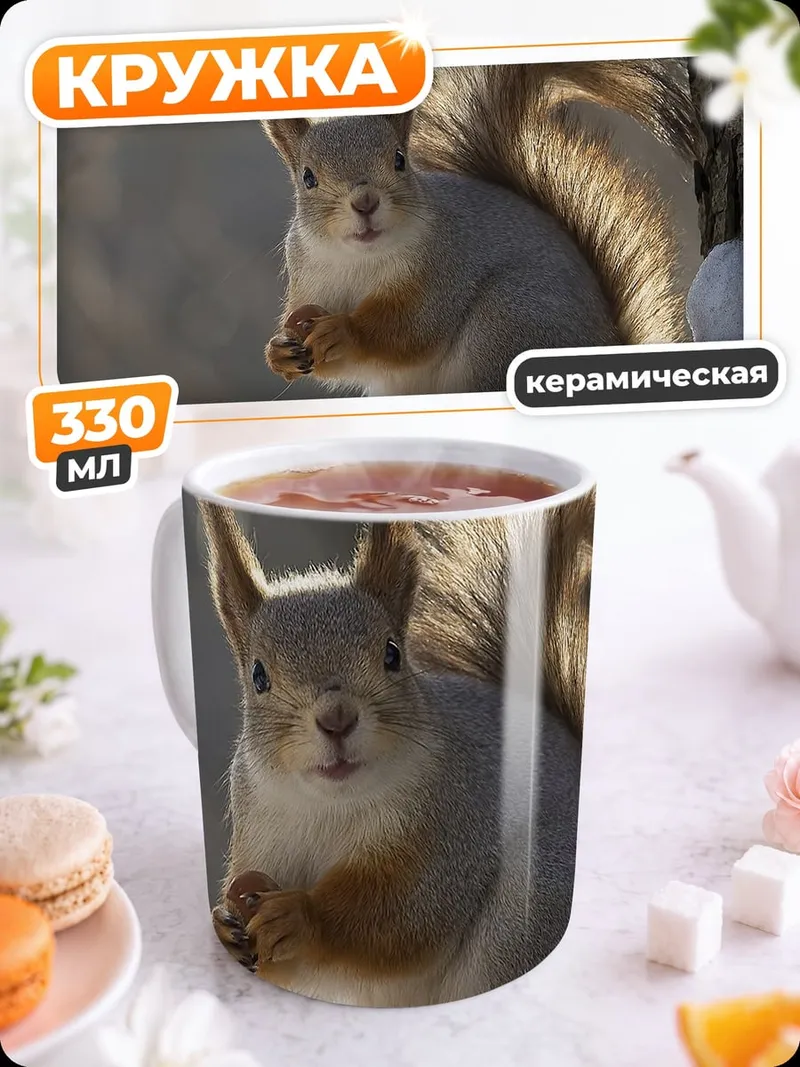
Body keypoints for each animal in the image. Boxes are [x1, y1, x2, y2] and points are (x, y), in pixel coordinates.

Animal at [200, 494, 593, 1007]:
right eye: (258, 675)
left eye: (392, 654)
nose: (337, 718)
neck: (329, 809)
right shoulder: (259, 839)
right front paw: (225, 925)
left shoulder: (452, 829)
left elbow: (406, 916)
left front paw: (301, 917)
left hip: (527, 906)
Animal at [261, 60, 700, 397]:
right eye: (308, 177)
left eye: (400, 160)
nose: (365, 202)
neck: (361, 260)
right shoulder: (310, 280)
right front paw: (279, 350)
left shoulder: (444, 268)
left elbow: (413, 329)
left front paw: (344, 331)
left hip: (508, 320)